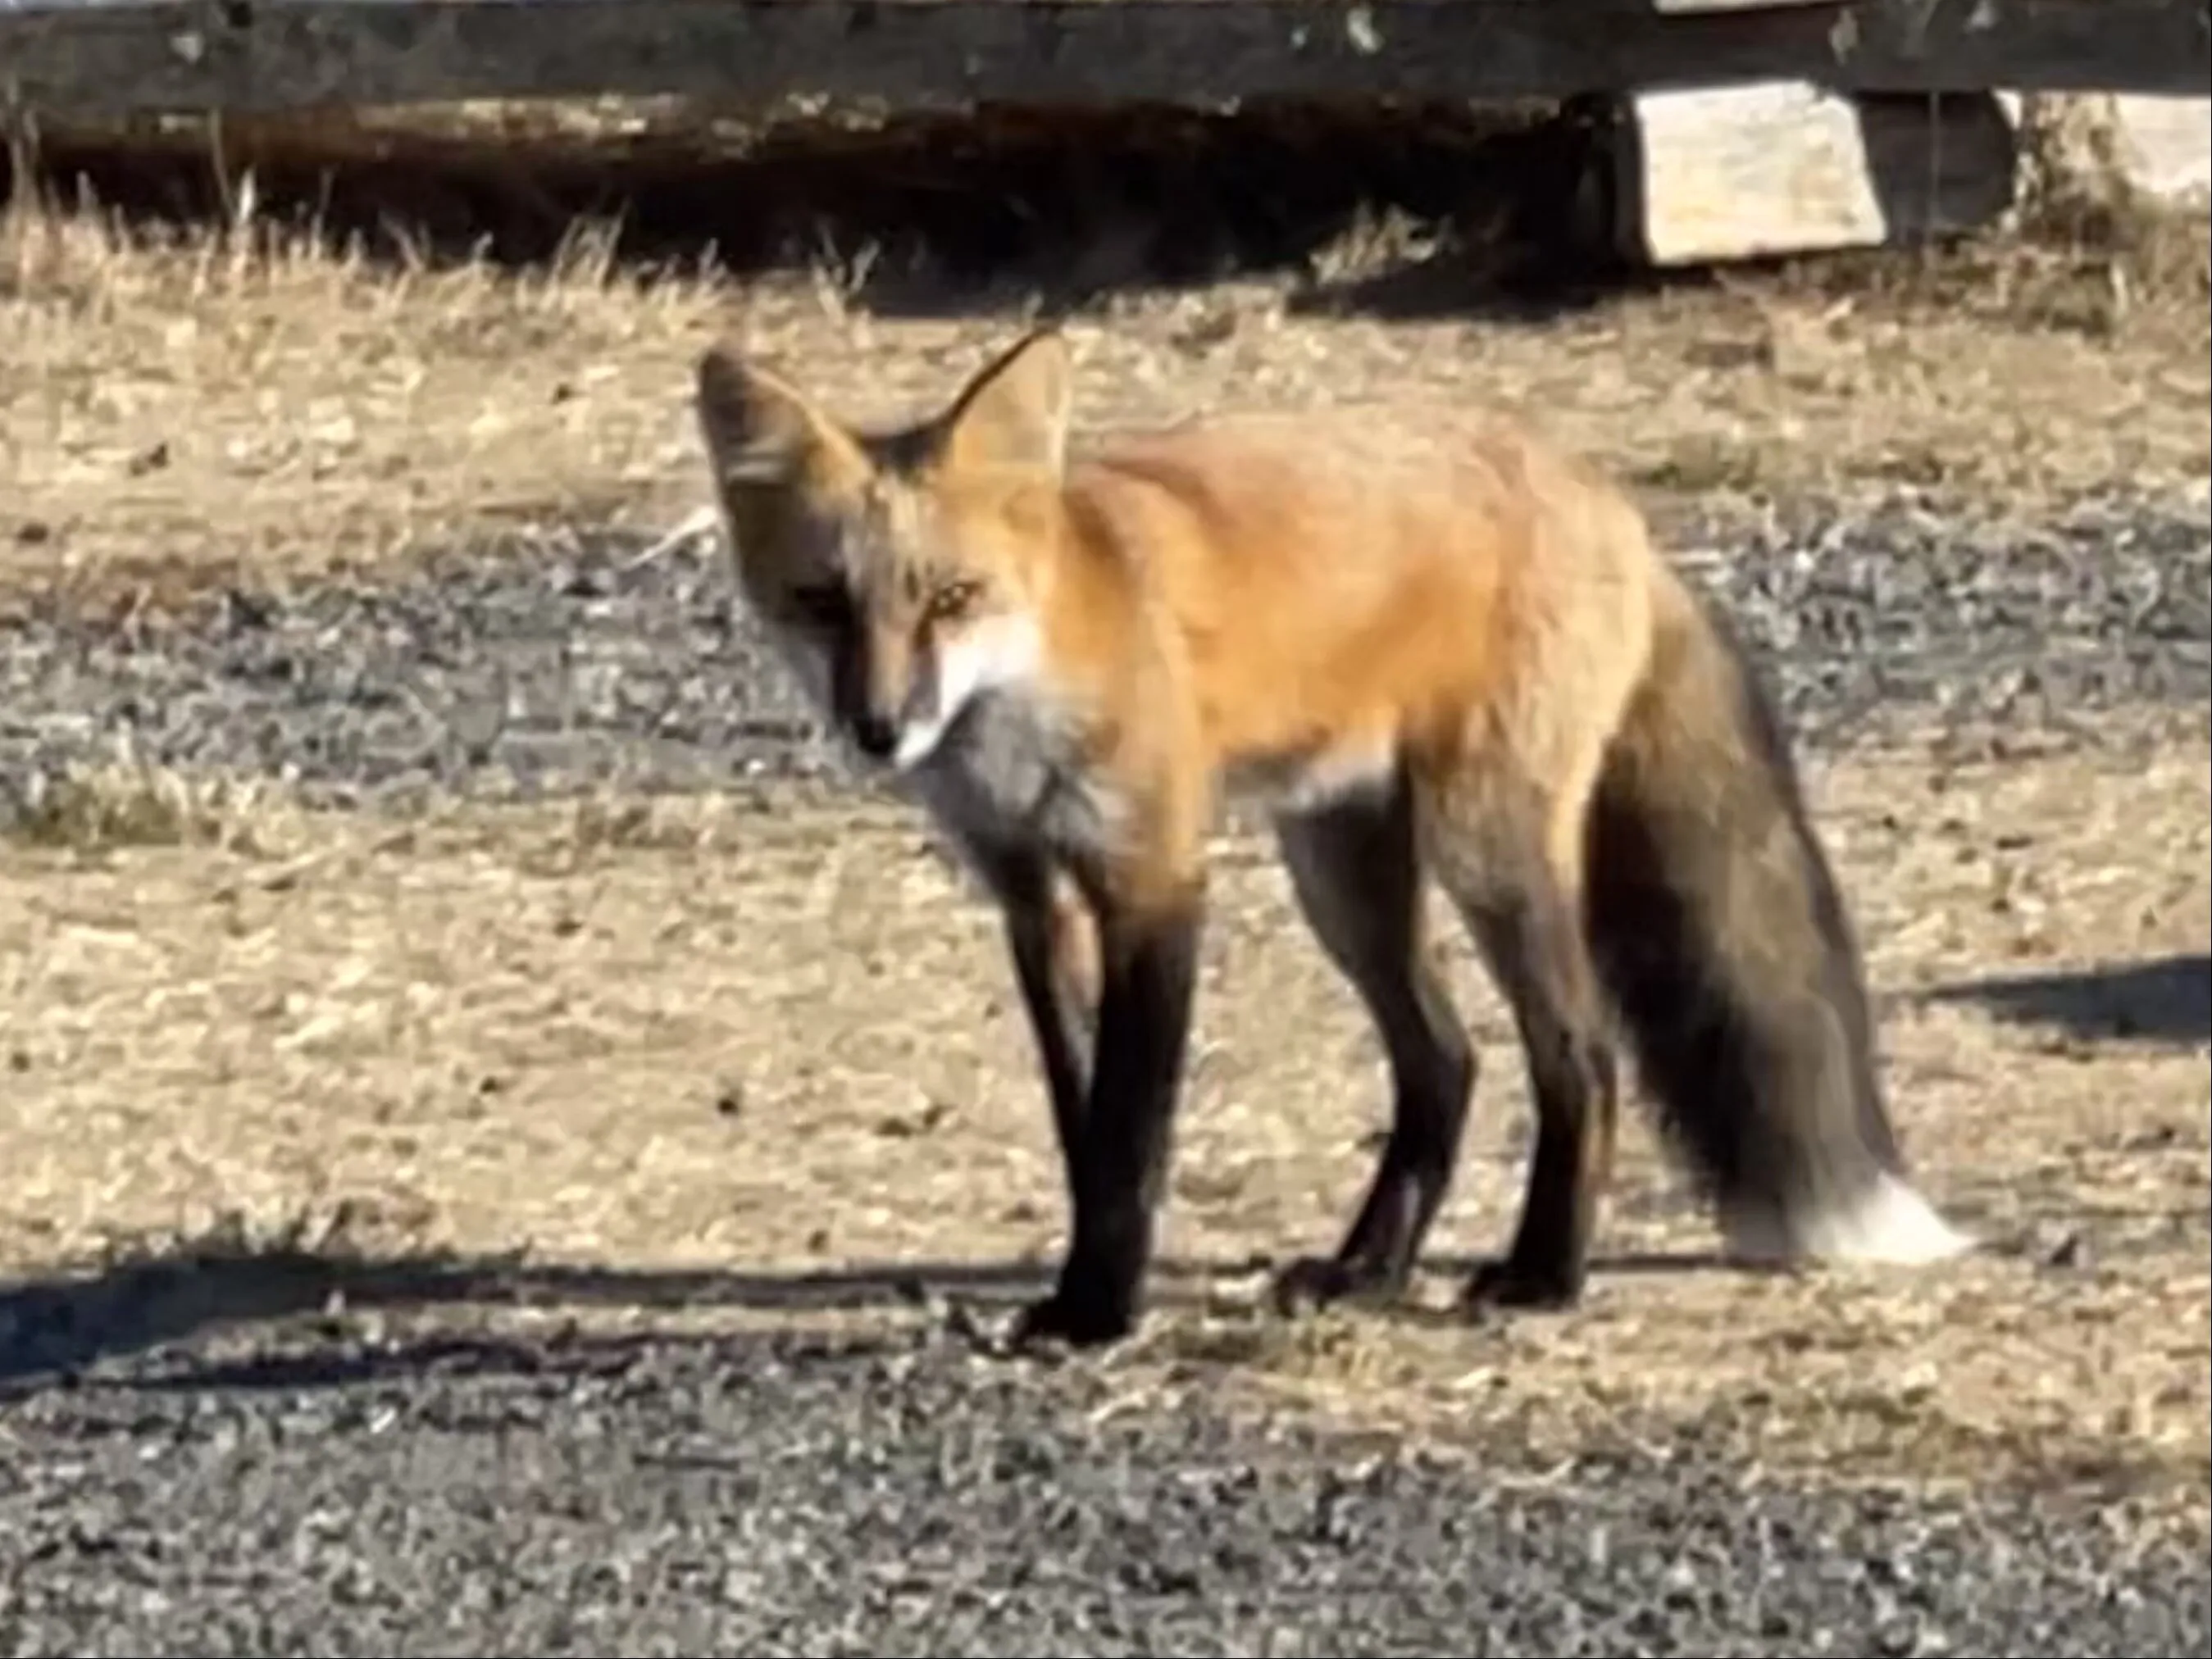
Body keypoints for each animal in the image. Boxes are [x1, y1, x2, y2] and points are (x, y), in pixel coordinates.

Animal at [690, 325, 1974, 1351]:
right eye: (822, 603)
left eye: (951, 599)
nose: (878, 728)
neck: (1034, 685)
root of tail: (1609, 505)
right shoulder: (1030, 893)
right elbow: (1080, 1122)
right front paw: (1082, 1285)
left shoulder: (1153, 878)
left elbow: (1129, 1132)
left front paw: (1099, 1310)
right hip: (1343, 878)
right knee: (1445, 1063)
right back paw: (1370, 1268)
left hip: (1484, 853)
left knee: (1580, 1055)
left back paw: (1542, 1276)